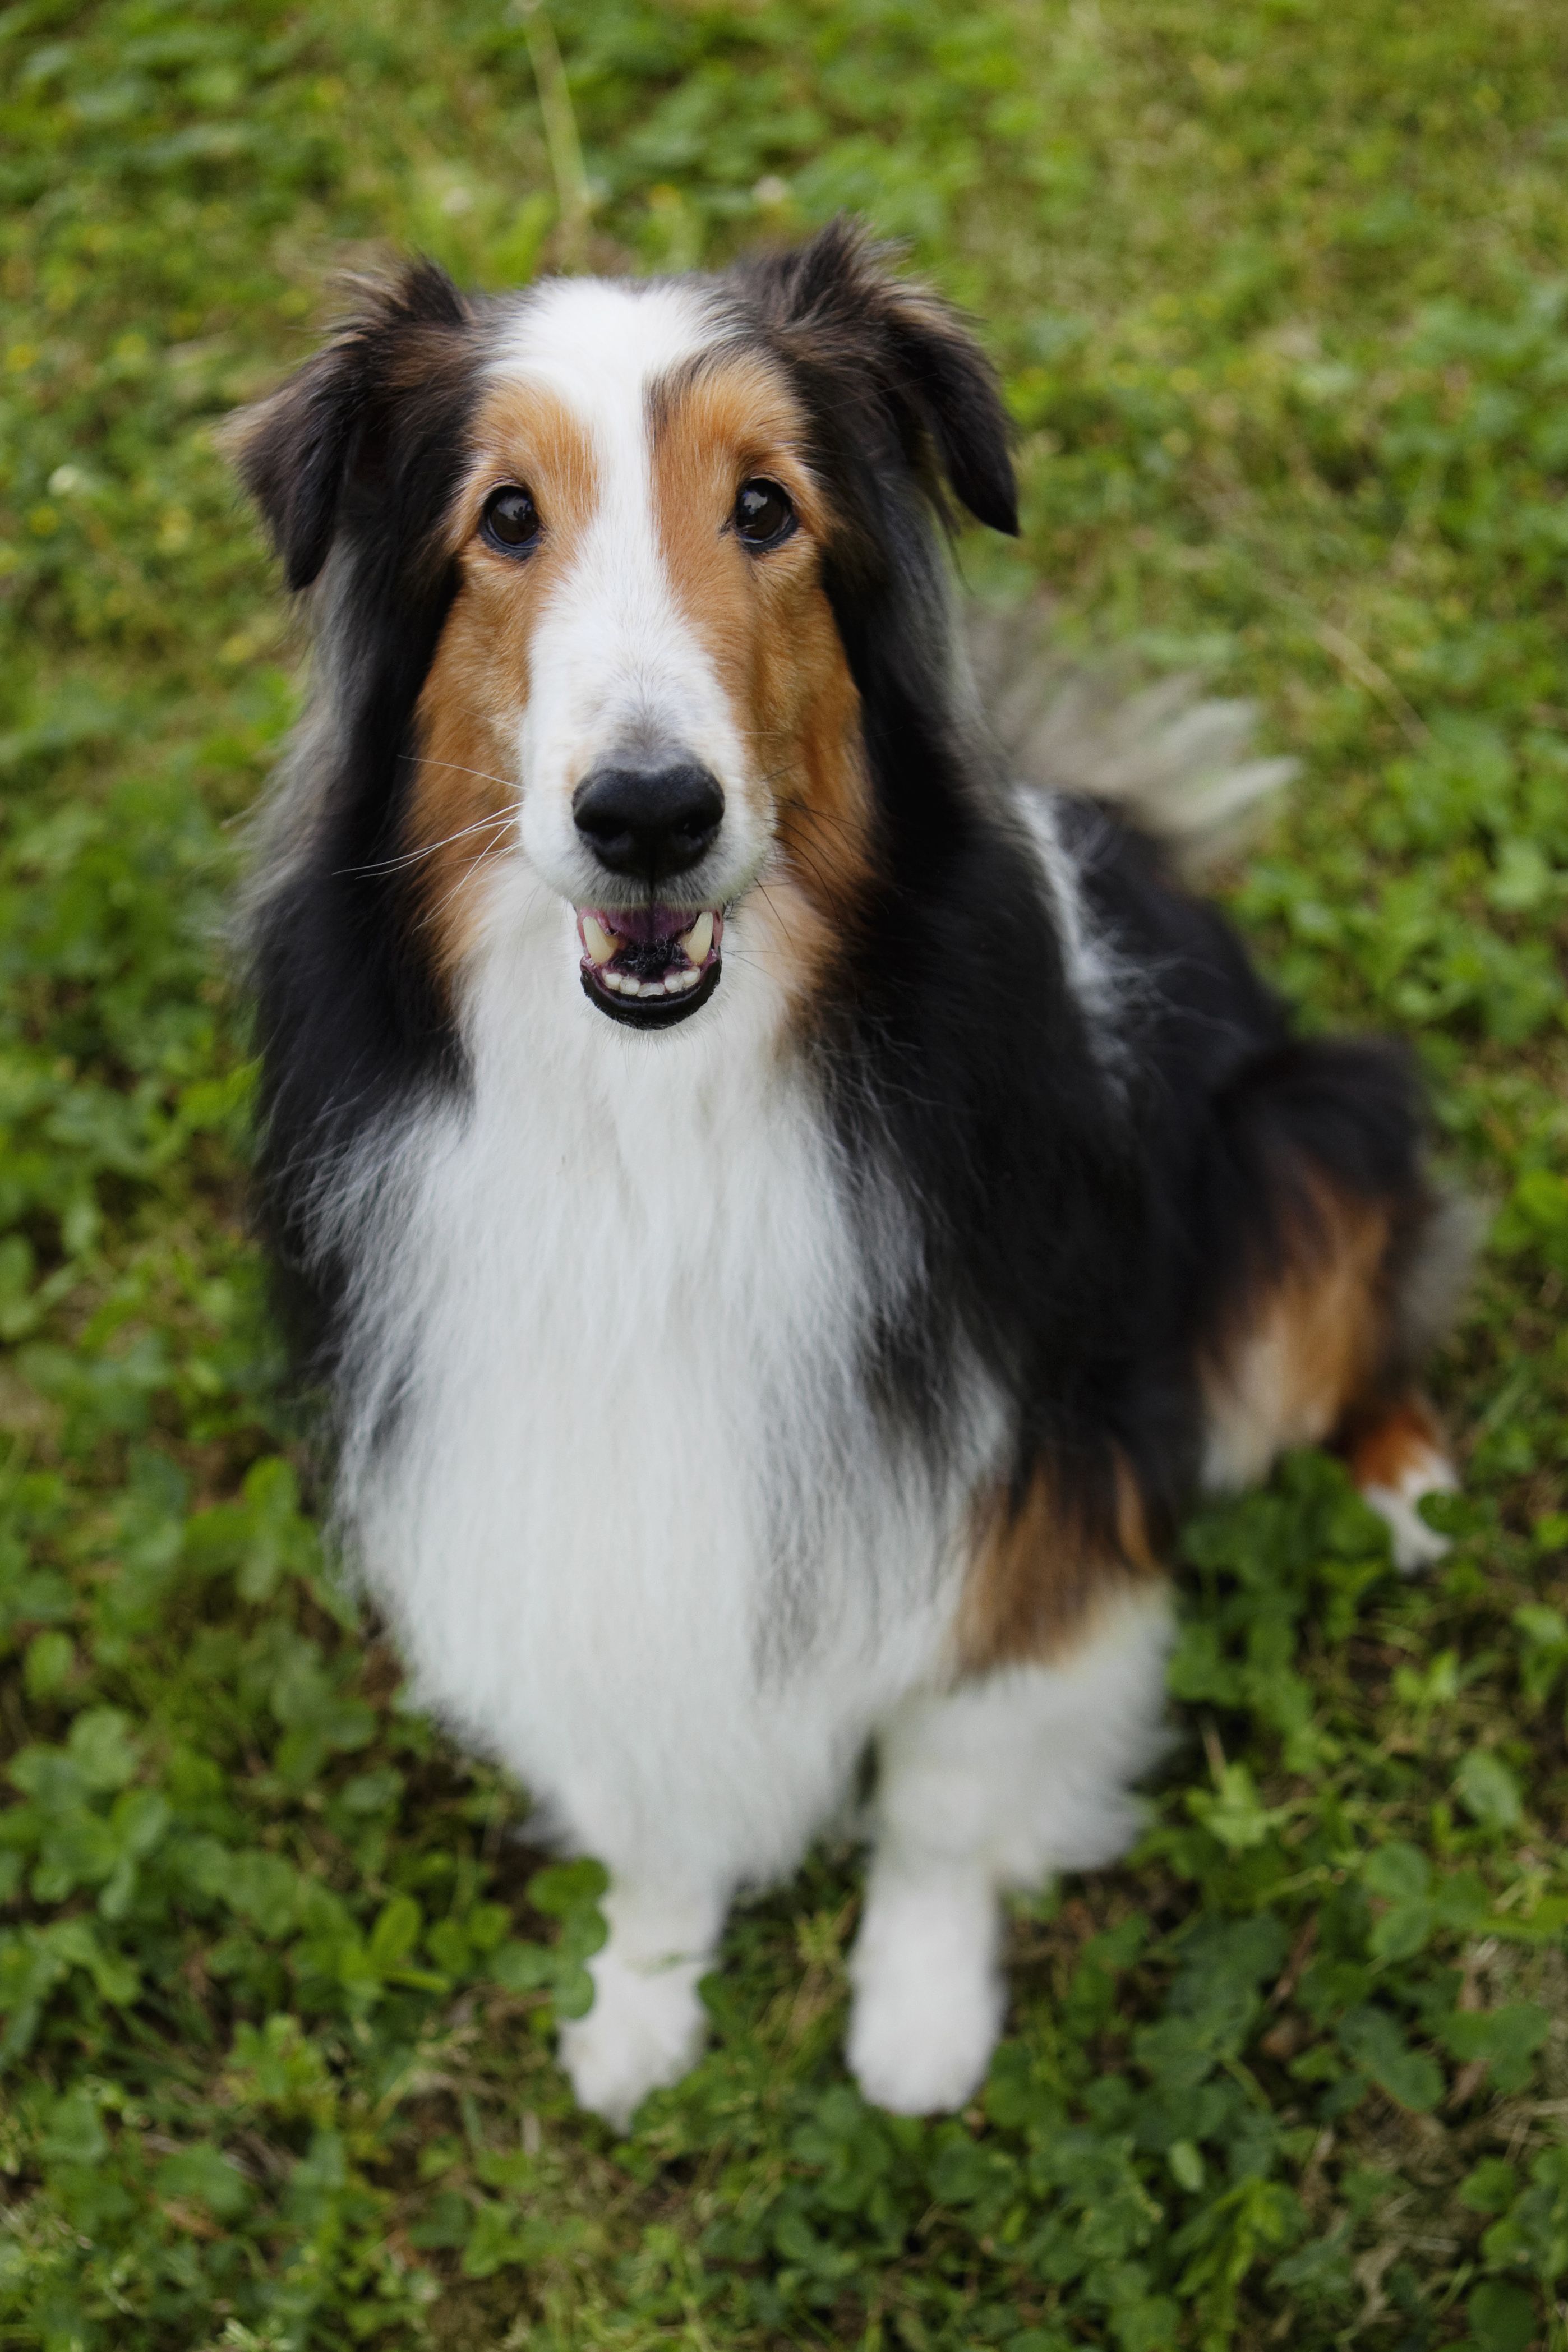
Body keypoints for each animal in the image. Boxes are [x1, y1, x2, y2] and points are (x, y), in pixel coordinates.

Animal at [232, 224, 1476, 2136]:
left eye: (765, 508)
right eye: (504, 518)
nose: (647, 815)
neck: (656, 1117)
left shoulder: (1017, 1487)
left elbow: (946, 1797)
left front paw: (918, 2015)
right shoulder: (562, 1487)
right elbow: (648, 1797)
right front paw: (638, 1996)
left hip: (1305, 1139)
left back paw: (1412, 1495)